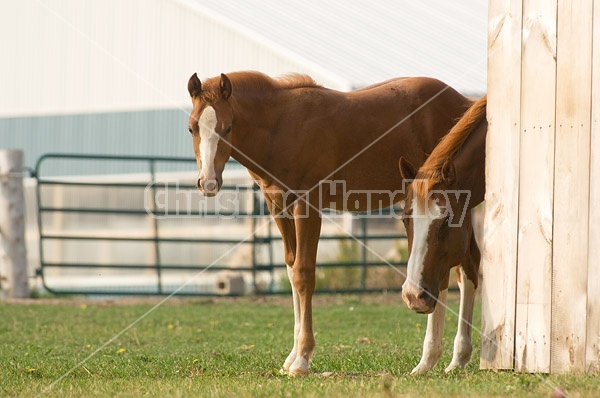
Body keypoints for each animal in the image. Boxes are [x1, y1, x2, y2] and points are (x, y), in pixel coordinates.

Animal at [185, 71, 476, 376]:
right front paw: (291, 356)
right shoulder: (278, 207)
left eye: (228, 128)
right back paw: (454, 358)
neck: (281, 127)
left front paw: (302, 359)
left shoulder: (308, 206)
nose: (208, 183)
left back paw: (435, 358)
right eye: (192, 128)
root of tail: (463, 101)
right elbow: (291, 270)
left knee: (461, 267)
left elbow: (304, 274)